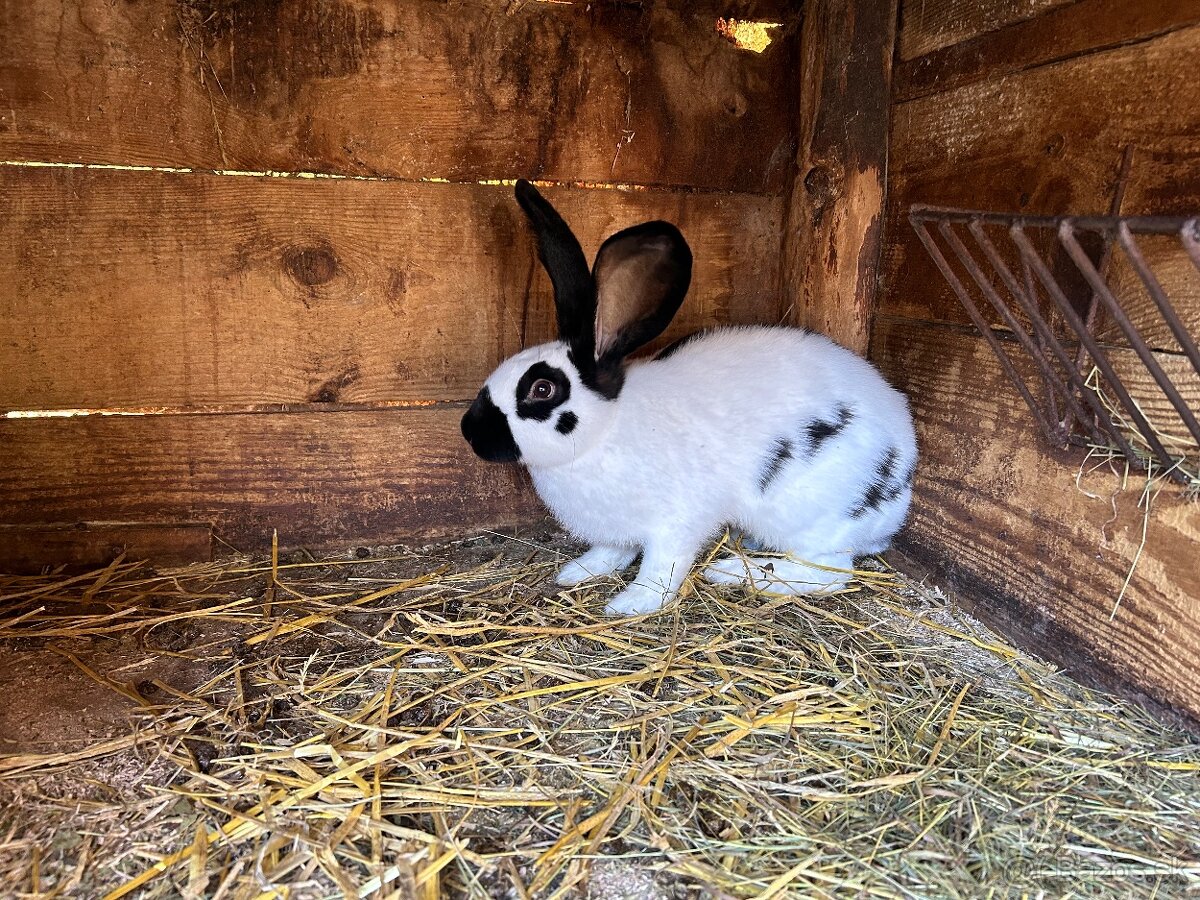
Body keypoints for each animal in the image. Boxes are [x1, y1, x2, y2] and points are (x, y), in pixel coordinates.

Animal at [458, 183, 916, 619]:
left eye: (542, 390)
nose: (469, 431)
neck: (604, 432)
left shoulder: (675, 523)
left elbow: (663, 568)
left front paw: (631, 604)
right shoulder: (616, 529)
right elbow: (612, 552)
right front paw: (577, 572)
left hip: (808, 515)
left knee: (829, 573)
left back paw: (732, 572)